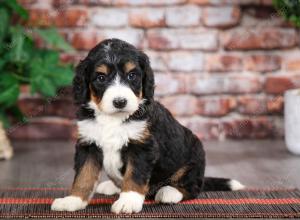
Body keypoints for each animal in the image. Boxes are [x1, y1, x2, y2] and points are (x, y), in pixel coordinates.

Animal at [51, 38, 244, 214]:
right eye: (101, 77)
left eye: (132, 75)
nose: (120, 102)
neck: (113, 119)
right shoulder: (88, 144)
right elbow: (83, 175)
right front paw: (73, 200)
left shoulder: (142, 146)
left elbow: (134, 175)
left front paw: (128, 201)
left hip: (194, 159)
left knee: (192, 187)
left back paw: (169, 192)